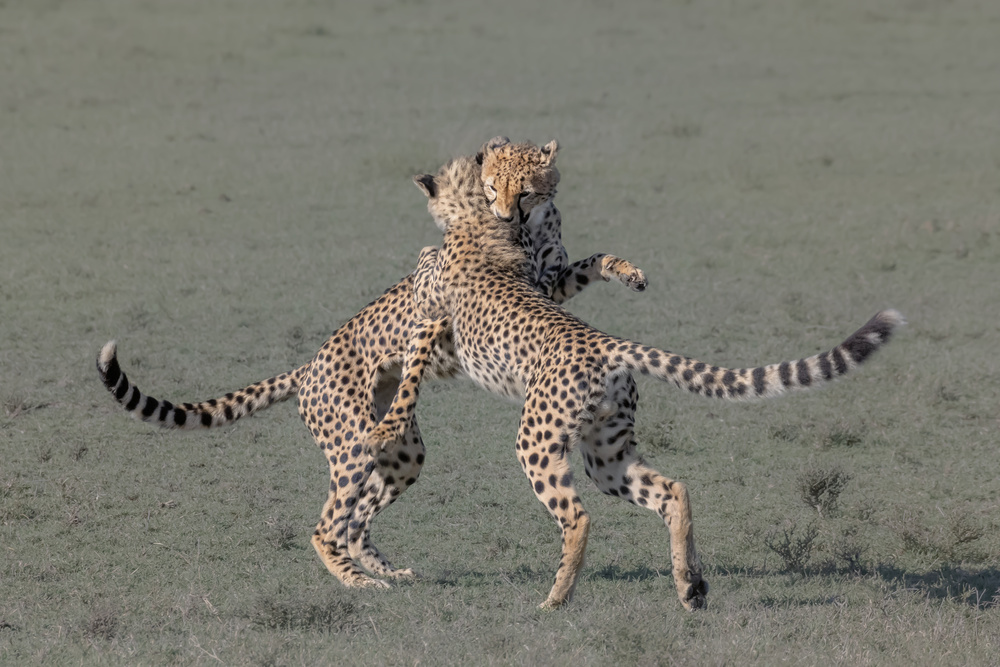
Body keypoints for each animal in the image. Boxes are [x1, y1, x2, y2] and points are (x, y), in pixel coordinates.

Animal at [95, 141, 648, 588]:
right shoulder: (462, 303)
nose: (507, 216)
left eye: (527, 192)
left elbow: (590, 261)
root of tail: (308, 366)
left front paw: (628, 271)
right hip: (351, 445)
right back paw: (357, 581)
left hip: (404, 456)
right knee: (326, 527)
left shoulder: (546, 286)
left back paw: (386, 571)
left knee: (357, 521)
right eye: (495, 187)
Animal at [376, 140, 908, 612]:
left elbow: (419, 307)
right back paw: (689, 585)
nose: (508, 216)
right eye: (493, 187)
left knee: (579, 517)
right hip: (607, 453)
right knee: (674, 490)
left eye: (522, 192)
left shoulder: (440, 303)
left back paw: (557, 598)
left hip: (539, 441)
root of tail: (602, 341)